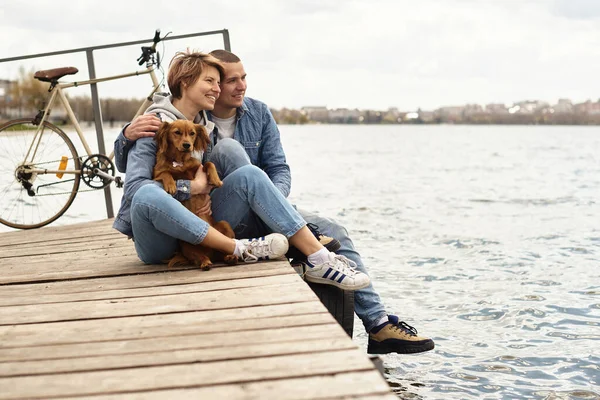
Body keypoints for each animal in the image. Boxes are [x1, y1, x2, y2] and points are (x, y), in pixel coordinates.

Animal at [152, 119, 237, 268]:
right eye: (177, 132)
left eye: (192, 133)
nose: (187, 145)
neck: (179, 161)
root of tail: (210, 252)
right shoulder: (156, 174)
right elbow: (166, 173)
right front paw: (171, 185)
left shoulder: (198, 167)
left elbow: (209, 164)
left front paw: (216, 179)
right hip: (187, 246)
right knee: (200, 257)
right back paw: (205, 263)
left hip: (224, 224)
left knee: (224, 250)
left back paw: (230, 257)